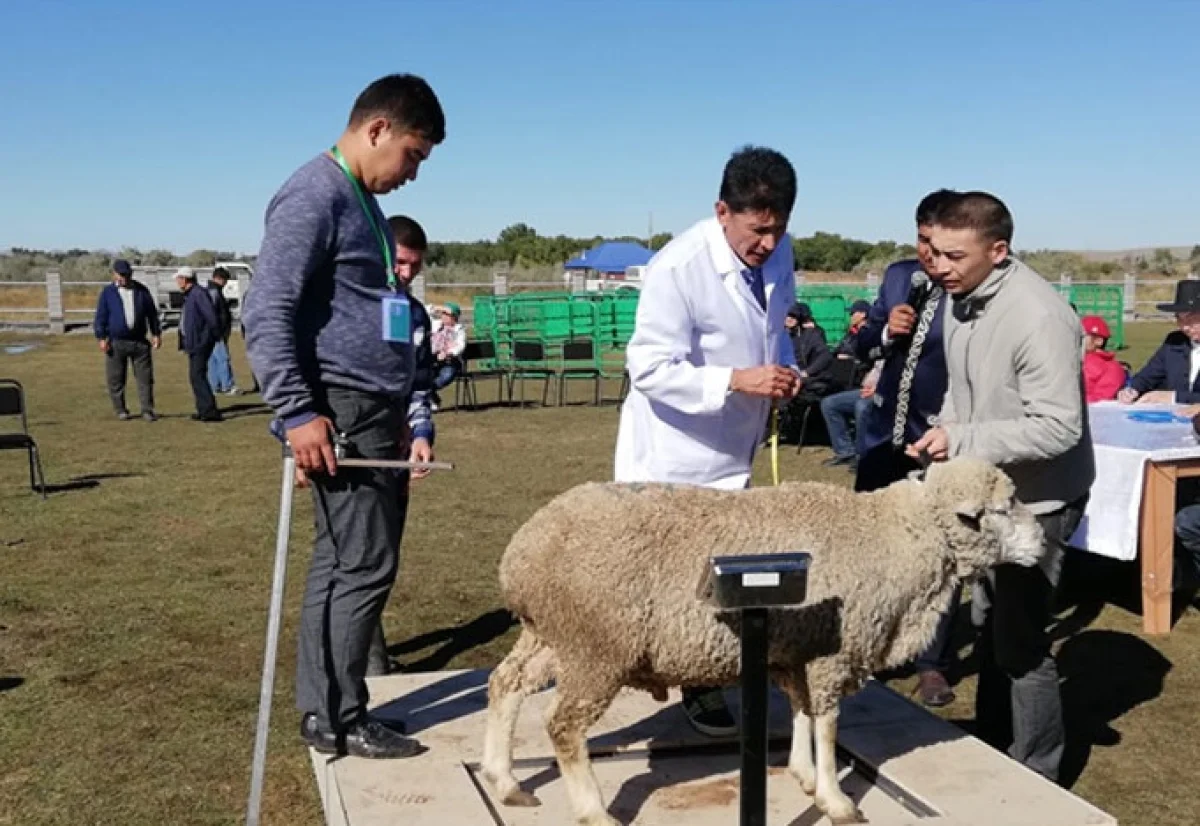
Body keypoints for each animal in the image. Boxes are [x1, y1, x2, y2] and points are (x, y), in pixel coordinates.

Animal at [477, 458, 1041, 826]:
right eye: (1004, 507)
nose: (1043, 541)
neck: (893, 536)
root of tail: (521, 554)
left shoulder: (798, 645)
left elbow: (803, 710)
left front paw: (803, 775)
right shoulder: (834, 652)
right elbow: (828, 724)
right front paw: (836, 801)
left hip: (552, 635)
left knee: (505, 684)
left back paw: (503, 780)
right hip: (597, 645)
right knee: (564, 725)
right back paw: (594, 811)